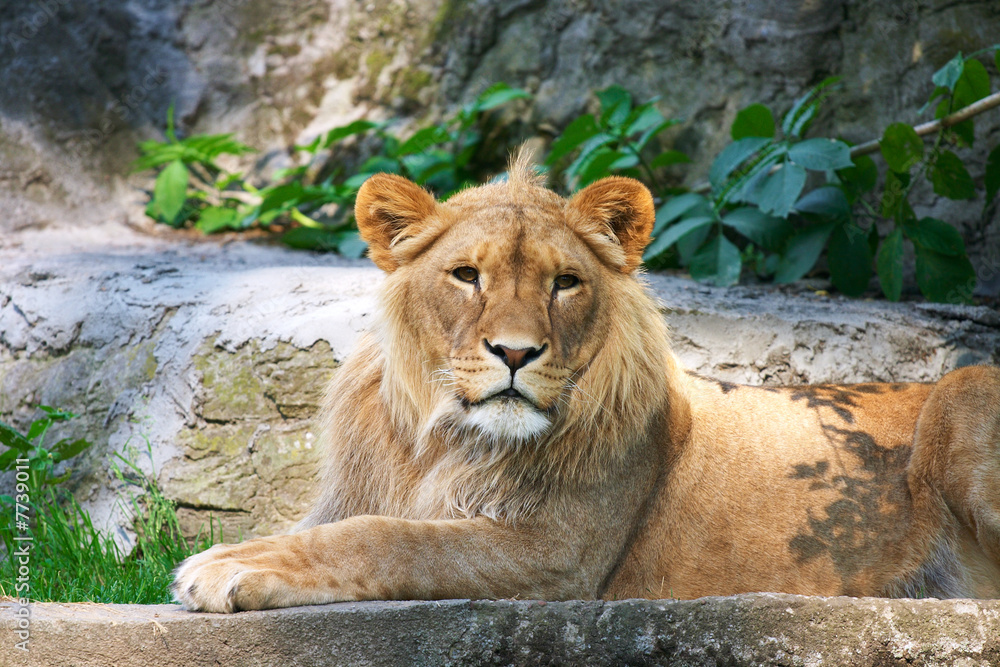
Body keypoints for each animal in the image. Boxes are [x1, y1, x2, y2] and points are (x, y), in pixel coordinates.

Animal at [173, 151, 1000, 612]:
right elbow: (341, 527)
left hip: (963, 391)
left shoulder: (558, 557)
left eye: (565, 282)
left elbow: (389, 539)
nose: (515, 352)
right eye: (466, 275)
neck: (440, 440)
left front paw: (230, 565)